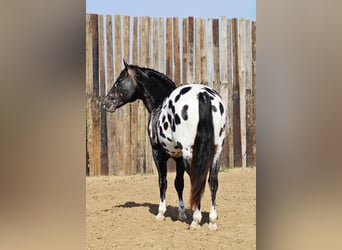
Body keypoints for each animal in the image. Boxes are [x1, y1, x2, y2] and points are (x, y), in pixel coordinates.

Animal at [103, 59, 228, 230]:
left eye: (119, 81)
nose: (106, 103)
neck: (160, 103)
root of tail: (203, 95)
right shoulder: (178, 158)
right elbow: (179, 183)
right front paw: (182, 213)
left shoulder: (158, 153)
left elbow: (163, 182)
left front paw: (161, 213)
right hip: (216, 151)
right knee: (212, 182)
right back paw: (212, 221)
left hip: (190, 153)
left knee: (197, 180)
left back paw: (196, 220)